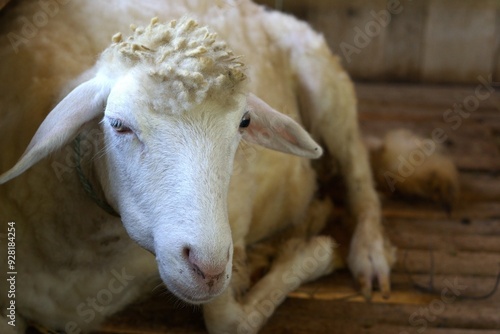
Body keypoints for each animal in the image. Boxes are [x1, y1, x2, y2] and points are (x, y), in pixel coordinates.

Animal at [0, 1, 458, 332]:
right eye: (118, 125)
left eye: (244, 122)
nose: (209, 268)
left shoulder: (232, 221)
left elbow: (228, 323)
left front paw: (313, 253)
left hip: (327, 80)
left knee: (359, 171)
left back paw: (368, 252)